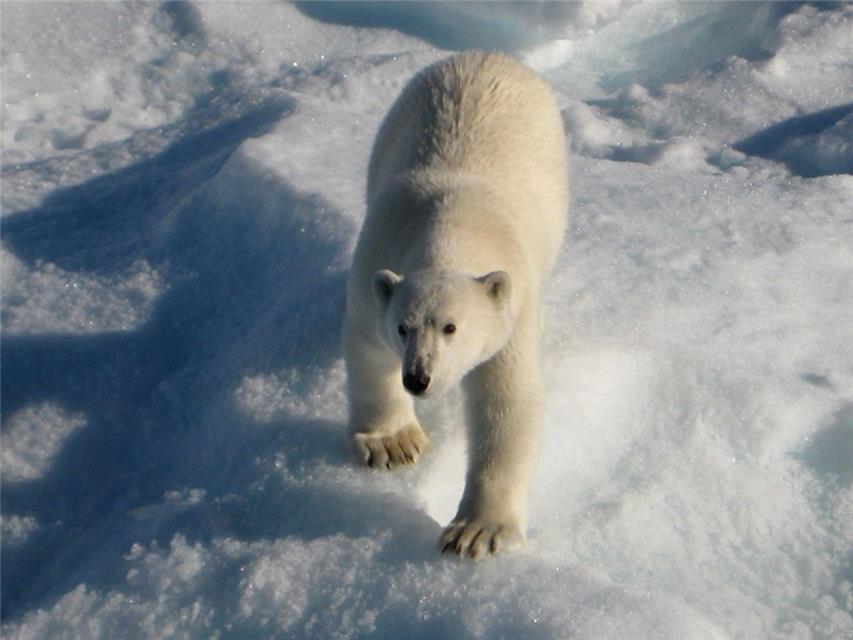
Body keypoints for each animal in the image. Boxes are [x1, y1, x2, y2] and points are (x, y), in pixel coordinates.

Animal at [343, 51, 568, 559]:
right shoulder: (376, 261)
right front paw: (394, 444)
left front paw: (476, 531)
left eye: (452, 327)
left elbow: (506, 402)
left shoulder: (511, 309)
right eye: (403, 328)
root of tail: (488, 56)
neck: (452, 221)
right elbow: (366, 348)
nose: (418, 378)